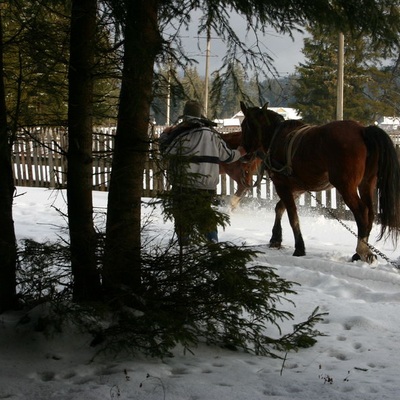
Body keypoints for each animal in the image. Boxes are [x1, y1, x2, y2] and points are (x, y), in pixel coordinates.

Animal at [239, 101, 400, 262]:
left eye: (244, 125)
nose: (244, 153)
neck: (276, 136)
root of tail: (362, 130)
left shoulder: (282, 185)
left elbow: (292, 216)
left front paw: (299, 247)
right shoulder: (297, 188)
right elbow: (279, 208)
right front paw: (276, 238)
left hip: (346, 186)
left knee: (361, 211)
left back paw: (362, 250)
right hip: (366, 183)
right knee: (370, 214)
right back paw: (360, 251)